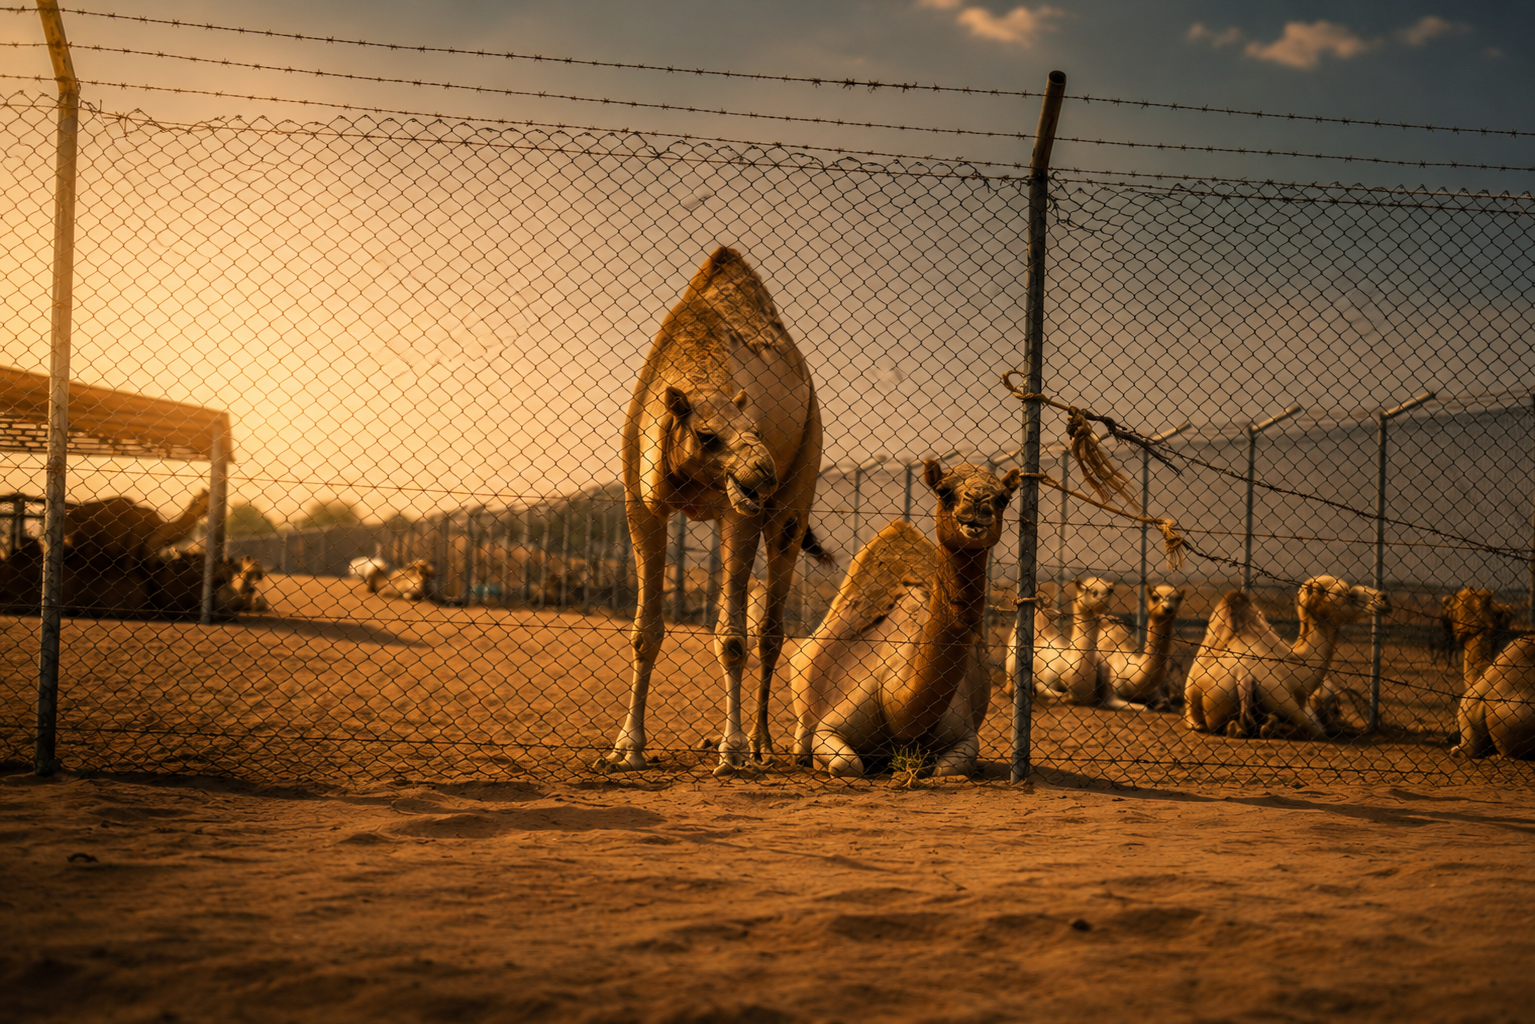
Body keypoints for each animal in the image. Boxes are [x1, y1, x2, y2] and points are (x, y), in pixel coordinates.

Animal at [601, 246, 822, 776]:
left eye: (755, 431)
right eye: (705, 435)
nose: (762, 473)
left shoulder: (736, 513)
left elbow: (732, 639)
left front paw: (733, 751)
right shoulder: (642, 504)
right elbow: (644, 632)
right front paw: (627, 749)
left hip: (802, 470)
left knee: (770, 628)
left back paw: (765, 745)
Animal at [789, 460, 1021, 779]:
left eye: (1003, 498)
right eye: (944, 491)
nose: (978, 504)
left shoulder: (965, 734)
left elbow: (947, 767)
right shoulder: (830, 726)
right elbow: (845, 762)